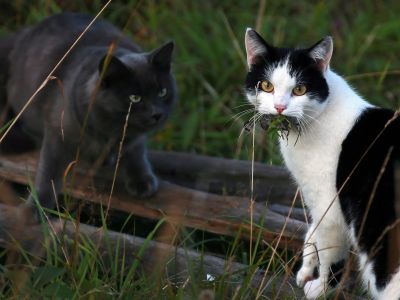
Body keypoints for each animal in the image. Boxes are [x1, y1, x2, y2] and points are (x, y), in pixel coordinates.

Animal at [1, 12, 177, 210]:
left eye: (162, 92)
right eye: (134, 98)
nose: (157, 113)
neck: (109, 131)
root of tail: (26, 31)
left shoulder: (133, 137)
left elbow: (136, 151)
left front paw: (142, 181)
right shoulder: (58, 132)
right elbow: (49, 173)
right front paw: (36, 208)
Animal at [242, 29, 398, 298]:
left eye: (300, 89)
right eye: (266, 86)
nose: (280, 107)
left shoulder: (330, 206)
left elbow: (329, 253)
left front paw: (321, 287)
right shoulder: (315, 200)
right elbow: (312, 234)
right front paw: (306, 269)